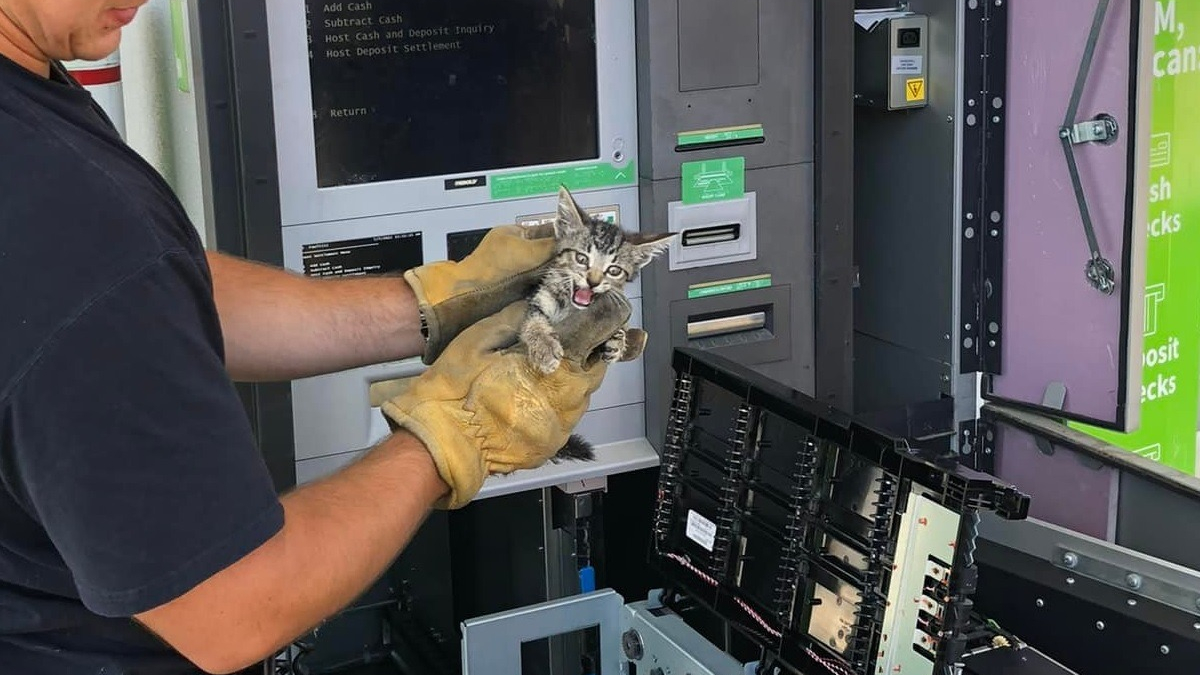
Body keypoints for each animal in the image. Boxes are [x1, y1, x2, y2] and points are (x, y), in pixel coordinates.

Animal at [520, 184, 676, 461]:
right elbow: (533, 322)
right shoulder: (537, 300)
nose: (592, 282)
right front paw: (545, 349)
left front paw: (617, 341)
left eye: (614, 270)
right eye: (582, 259)